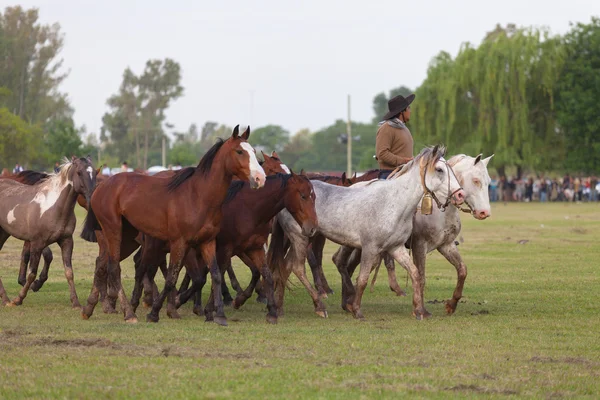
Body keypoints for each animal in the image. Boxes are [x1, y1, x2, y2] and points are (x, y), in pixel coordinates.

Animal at [0, 158, 95, 308]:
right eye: (79, 172)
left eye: (95, 173)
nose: (91, 196)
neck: (54, 207)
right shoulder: (37, 243)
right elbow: (32, 273)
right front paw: (19, 299)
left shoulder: (66, 241)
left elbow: (69, 272)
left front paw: (75, 302)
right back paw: (8, 300)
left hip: (3, 233)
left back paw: (5, 299)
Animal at [79, 125, 264, 324]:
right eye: (239, 151)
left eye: (254, 151)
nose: (260, 178)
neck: (198, 197)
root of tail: (102, 186)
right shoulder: (179, 243)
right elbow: (171, 279)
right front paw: (155, 312)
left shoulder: (207, 242)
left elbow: (215, 275)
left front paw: (219, 315)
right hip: (113, 230)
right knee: (114, 268)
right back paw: (128, 313)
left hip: (127, 238)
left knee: (103, 265)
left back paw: (89, 308)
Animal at [266, 145, 464, 320]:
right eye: (439, 169)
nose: (460, 194)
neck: (394, 203)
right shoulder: (371, 248)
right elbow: (362, 279)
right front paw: (356, 310)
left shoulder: (396, 248)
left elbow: (415, 274)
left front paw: (420, 311)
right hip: (300, 238)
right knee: (298, 268)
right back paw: (320, 306)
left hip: (303, 238)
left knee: (286, 267)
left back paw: (281, 308)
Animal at [332, 153, 492, 316]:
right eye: (476, 180)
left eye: (489, 181)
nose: (484, 212)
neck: (439, 211)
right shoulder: (419, 245)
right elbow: (421, 277)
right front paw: (421, 309)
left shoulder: (446, 245)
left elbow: (462, 270)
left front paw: (451, 305)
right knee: (340, 261)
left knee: (349, 266)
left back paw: (348, 302)